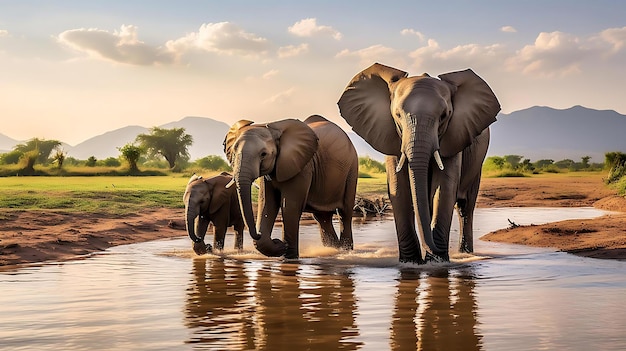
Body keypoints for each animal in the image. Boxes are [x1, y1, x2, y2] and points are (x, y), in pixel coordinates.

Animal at [222, 115, 356, 258]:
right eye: (233, 153)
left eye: (263, 154)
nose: (277, 241)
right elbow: (267, 204)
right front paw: (281, 248)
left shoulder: (302, 167)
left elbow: (289, 206)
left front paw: (289, 256)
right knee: (322, 217)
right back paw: (334, 249)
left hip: (352, 169)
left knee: (344, 213)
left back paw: (346, 250)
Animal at [336, 62, 498, 264]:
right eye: (397, 115)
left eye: (444, 115)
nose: (435, 250)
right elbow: (399, 190)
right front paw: (411, 262)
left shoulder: (454, 136)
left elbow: (444, 189)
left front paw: (436, 262)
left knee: (465, 207)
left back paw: (465, 255)